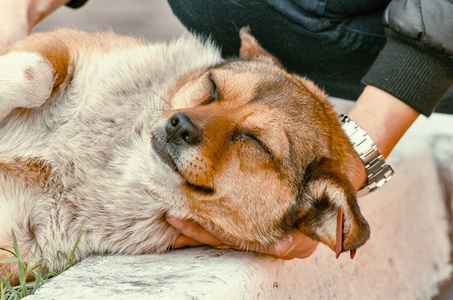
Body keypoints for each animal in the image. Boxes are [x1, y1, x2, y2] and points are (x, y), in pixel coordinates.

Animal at [0, 26, 368, 284]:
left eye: (255, 140)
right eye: (214, 86)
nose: (180, 126)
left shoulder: (20, 249)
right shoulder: (59, 46)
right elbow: (33, 75)